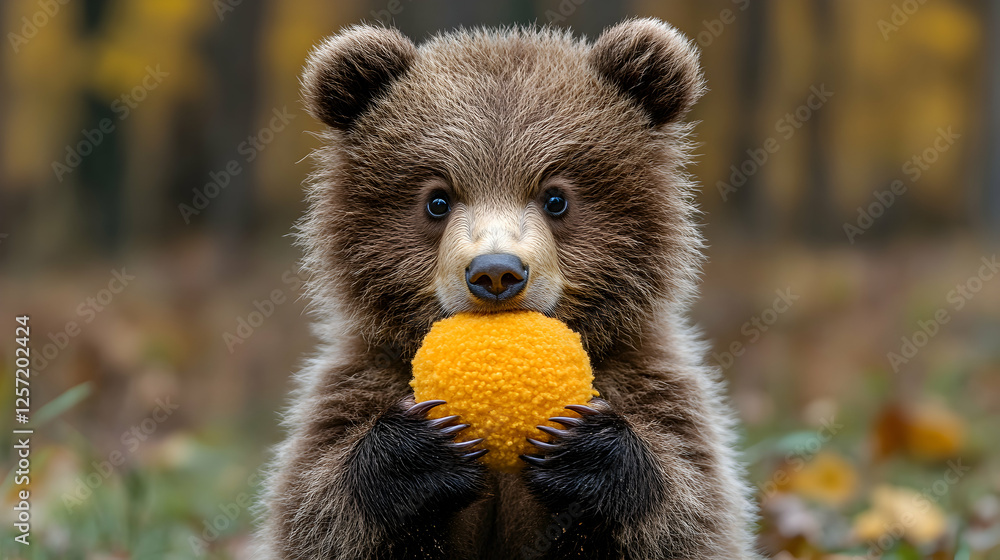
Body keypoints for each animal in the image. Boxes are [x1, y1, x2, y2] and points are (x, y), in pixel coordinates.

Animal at [255, 18, 760, 560]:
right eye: (437, 200)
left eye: (556, 198)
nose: (496, 273)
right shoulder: (362, 377)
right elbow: (318, 502)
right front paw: (419, 450)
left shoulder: (648, 378)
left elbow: (689, 502)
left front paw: (586, 450)